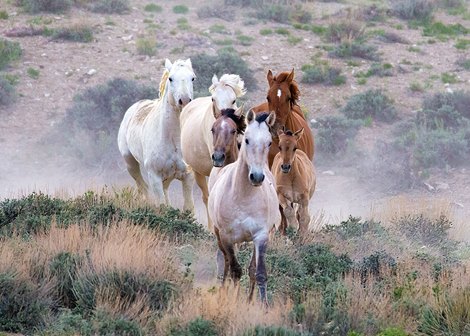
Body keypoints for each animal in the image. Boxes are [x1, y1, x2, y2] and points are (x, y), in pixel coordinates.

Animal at [118, 57, 197, 210]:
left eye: (193, 78)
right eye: (171, 78)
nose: (184, 101)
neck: (173, 139)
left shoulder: (188, 175)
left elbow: (188, 207)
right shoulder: (154, 177)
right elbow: (161, 205)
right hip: (131, 164)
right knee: (144, 189)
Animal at [208, 110, 280, 304]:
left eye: (269, 142)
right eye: (247, 140)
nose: (257, 177)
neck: (243, 197)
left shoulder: (261, 236)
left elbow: (258, 272)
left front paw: (262, 305)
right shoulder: (226, 237)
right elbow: (234, 269)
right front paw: (233, 299)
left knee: (251, 269)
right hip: (220, 236)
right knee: (225, 262)